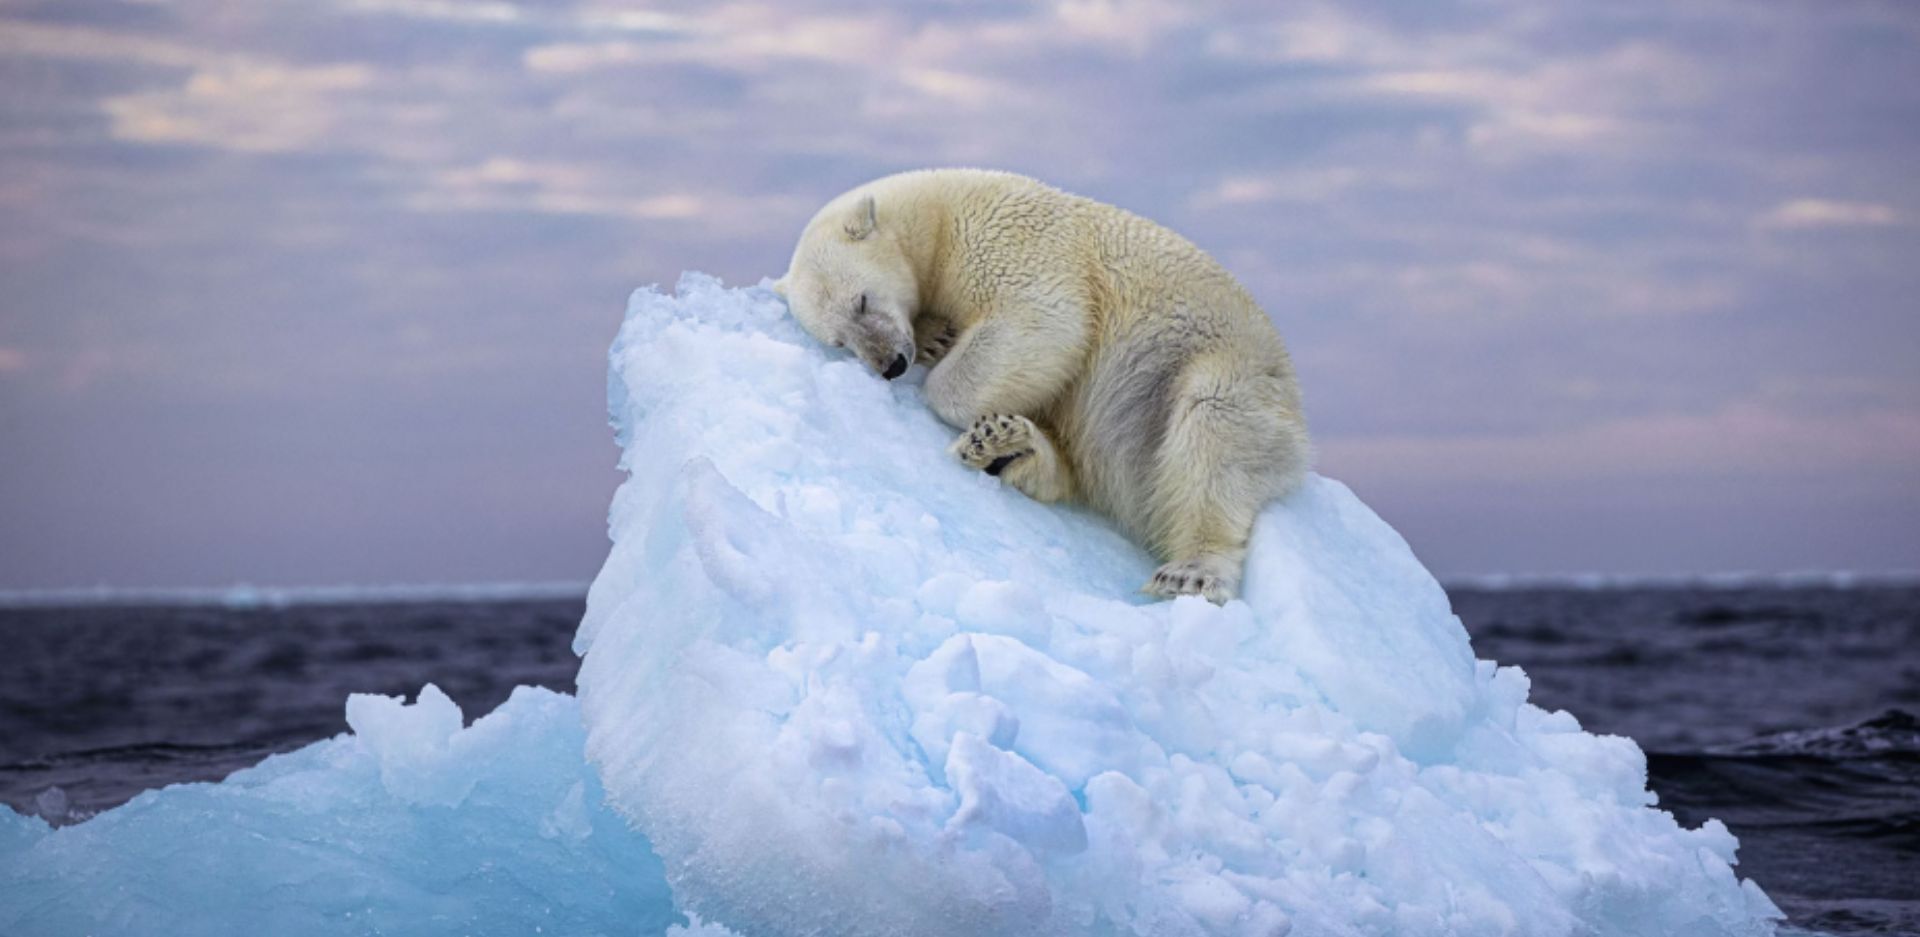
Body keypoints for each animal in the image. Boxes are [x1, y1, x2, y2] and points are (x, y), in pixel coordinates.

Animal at [771, 168, 1313, 602]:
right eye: (839, 341)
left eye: (861, 301)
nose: (890, 365)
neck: (938, 216)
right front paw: (935, 337)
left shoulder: (1008, 240)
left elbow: (1044, 320)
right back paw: (1008, 447)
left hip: (1219, 368)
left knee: (1213, 434)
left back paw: (1190, 572)